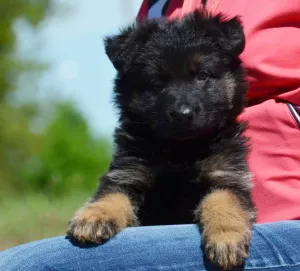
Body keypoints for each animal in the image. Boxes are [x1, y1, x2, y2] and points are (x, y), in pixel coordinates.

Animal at [67, 10, 255, 270]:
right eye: (156, 82)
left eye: (202, 75)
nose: (183, 114)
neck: (181, 150)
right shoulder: (129, 172)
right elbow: (113, 193)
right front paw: (94, 215)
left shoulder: (228, 175)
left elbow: (222, 201)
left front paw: (226, 237)